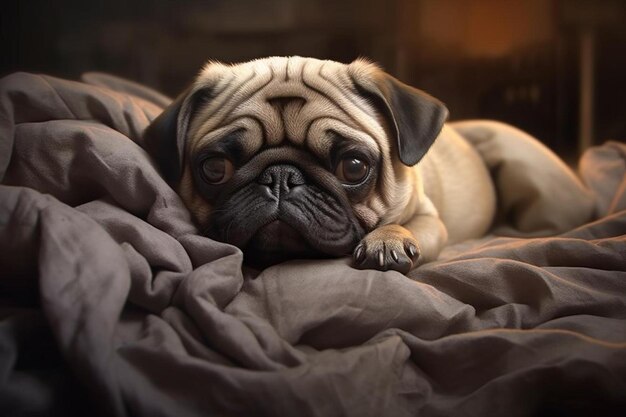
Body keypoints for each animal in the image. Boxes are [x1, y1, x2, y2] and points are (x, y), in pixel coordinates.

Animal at [144, 55, 592, 272]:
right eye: (215, 167)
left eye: (354, 167)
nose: (281, 177)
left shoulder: (430, 220)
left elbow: (406, 225)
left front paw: (387, 240)